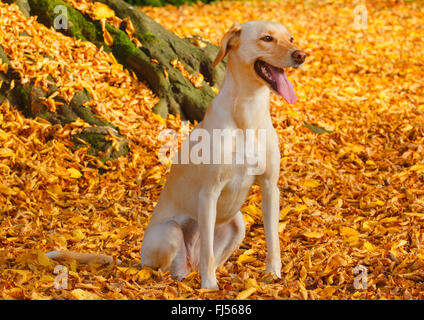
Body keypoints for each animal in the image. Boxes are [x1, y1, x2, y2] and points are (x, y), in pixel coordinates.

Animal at [46, 20, 306, 290]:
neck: (247, 113)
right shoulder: (209, 192)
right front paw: (210, 286)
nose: (301, 55)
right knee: (167, 269)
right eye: (267, 38)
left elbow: (273, 240)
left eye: (290, 38)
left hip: (237, 224)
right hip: (169, 232)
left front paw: (273, 275)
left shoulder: (270, 187)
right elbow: (207, 252)